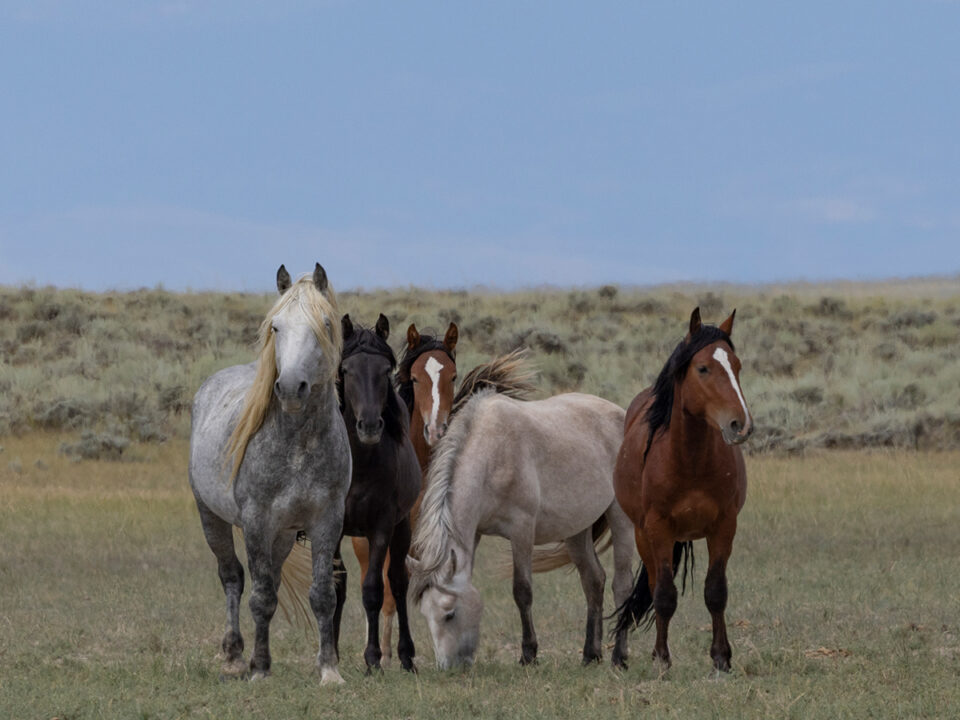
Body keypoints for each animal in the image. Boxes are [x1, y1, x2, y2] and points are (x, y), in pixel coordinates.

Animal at [188, 266, 352, 688]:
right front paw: (260, 669)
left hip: (283, 536)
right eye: (276, 327)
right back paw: (234, 655)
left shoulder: (327, 521)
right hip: (211, 517)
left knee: (271, 581)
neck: (297, 445)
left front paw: (329, 669)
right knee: (232, 576)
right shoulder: (257, 521)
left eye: (325, 324)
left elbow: (322, 595)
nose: (291, 388)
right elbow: (259, 597)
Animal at [408, 386, 632, 672]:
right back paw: (590, 654)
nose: (448, 668)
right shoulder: (476, 533)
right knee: (594, 581)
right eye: (426, 615)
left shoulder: (522, 530)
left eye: (450, 614)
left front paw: (528, 654)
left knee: (622, 584)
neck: (492, 454)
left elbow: (522, 591)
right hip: (576, 529)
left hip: (620, 518)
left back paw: (619, 657)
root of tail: (621, 414)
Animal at [616, 306, 752, 672]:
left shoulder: (724, 526)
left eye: (737, 366)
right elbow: (664, 595)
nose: (741, 425)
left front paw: (721, 658)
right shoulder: (658, 528)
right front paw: (662, 659)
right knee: (652, 585)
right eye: (703, 368)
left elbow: (716, 591)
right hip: (642, 535)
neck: (689, 460)